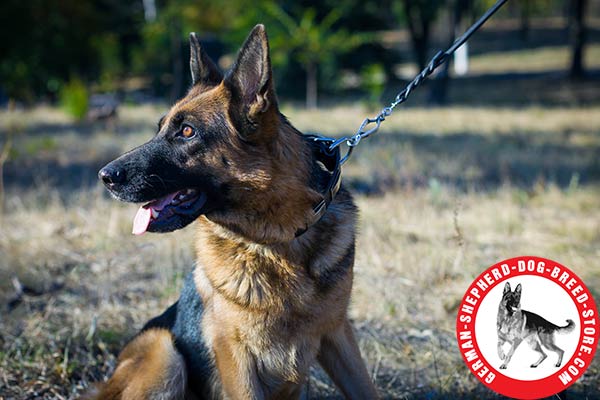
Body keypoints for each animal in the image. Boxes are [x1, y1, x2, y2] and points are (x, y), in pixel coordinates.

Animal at [91, 25, 378, 400]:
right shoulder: (236, 356)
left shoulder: (338, 335)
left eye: (186, 131)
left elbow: (366, 389)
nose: (105, 176)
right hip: (165, 354)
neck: (274, 243)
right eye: (160, 129)